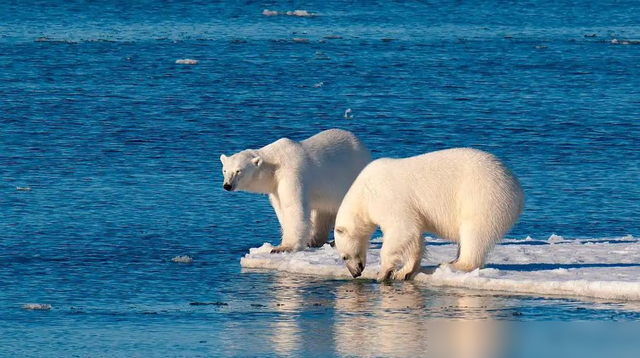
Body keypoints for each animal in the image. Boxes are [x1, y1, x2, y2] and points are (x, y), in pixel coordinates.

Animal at [220, 129, 370, 252]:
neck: (275, 162)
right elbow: (281, 208)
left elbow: (292, 206)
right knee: (323, 211)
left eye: (238, 171)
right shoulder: (275, 186)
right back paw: (315, 240)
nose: (227, 185)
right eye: (225, 170)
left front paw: (283, 247)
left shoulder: (292, 173)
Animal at [332, 148, 524, 280]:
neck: (364, 192)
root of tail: (518, 191)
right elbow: (414, 237)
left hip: (482, 198)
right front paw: (404, 272)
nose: (355, 273)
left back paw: (455, 264)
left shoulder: (388, 199)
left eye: (344, 256)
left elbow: (402, 230)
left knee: (474, 232)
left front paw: (383, 272)